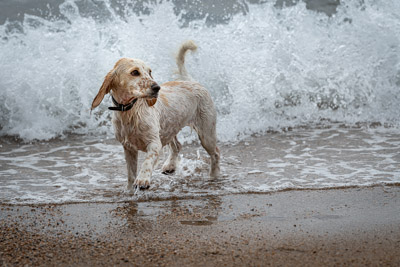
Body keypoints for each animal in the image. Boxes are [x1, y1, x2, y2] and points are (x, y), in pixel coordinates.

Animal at [90, 40, 220, 191]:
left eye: (149, 72)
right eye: (135, 72)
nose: (157, 88)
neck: (130, 111)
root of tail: (194, 82)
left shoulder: (154, 143)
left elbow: (147, 162)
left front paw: (142, 179)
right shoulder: (128, 148)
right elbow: (131, 174)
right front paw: (130, 188)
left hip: (206, 134)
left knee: (216, 153)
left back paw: (214, 176)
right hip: (169, 129)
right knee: (177, 146)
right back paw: (170, 166)